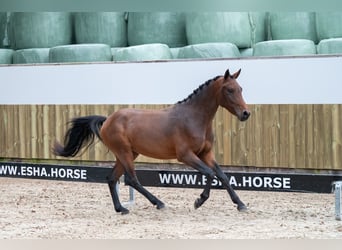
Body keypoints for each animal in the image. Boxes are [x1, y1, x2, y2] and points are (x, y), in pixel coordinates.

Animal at [54, 67, 251, 214]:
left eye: (241, 89)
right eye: (229, 90)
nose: (245, 114)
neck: (194, 118)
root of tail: (108, 119)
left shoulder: (206, 153)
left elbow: (222, 176)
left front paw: (241, 204)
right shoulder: (186, 155)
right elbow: (210, 174)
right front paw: (199, 201)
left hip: (127, 154)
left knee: (112, 178)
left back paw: (121, 208)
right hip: (125, 153)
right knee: (131, 180)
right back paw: (158, 203)